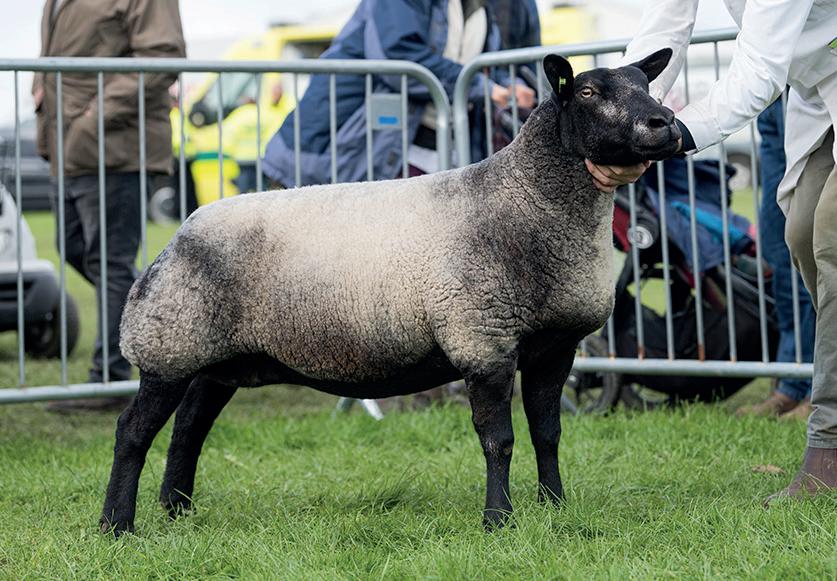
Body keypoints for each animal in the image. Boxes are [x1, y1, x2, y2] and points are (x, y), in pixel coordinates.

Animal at [100, 49, 679, 536]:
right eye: (588, 91)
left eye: (647, 84)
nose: (665, 123)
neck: (523, 198)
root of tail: (179, 233)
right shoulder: (483, 338)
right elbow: (500, 440)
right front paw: (499, 521)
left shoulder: (553, 346)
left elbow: (547, 432)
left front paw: (554, 506)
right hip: (170, 343)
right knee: (133, 431)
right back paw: (117, 525)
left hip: (219, 357)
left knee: (189, 427)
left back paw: (177, 510)